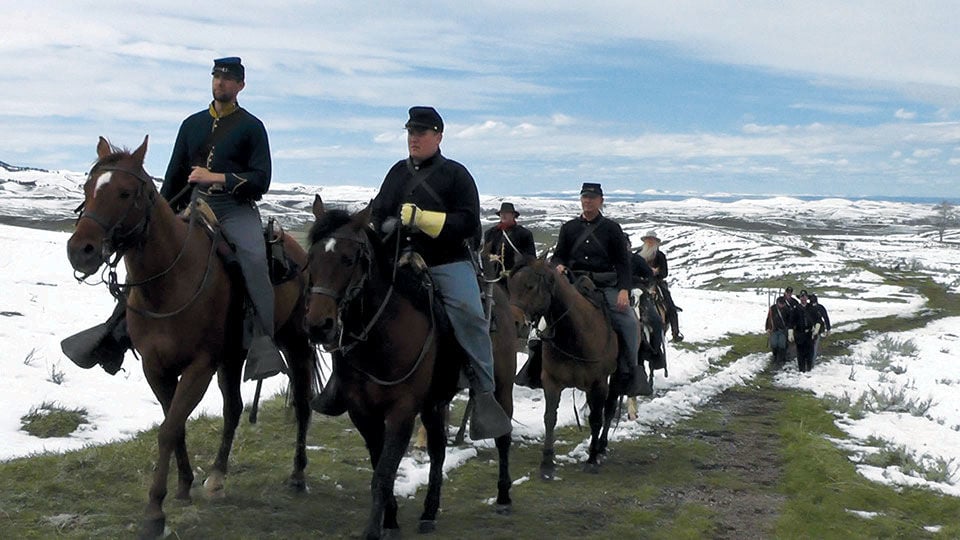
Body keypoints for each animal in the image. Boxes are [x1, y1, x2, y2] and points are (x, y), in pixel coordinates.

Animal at [64, 137, 318, 536]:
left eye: (125, 193)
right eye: (87, 189)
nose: (81, 251)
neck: (170, 282)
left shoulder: (200, 366)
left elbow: (169, 429)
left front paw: (154, 512)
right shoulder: (156, 368)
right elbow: (176, 423)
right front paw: (183, 485)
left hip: (294, 341)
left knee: (303, 404)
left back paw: (297, 476)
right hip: (232, 356)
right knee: (233, 408)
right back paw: (216, 477)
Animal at [306, 198, 516, 540]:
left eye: (349, 259)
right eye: (311, 258)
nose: (318, 326)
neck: (381, 337)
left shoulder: (402, 412)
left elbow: (383, 474)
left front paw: (374, 530)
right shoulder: (363, 413)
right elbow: (380, 466)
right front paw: (390, 519)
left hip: (501, 386)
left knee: (503, 435)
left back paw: (503, 496)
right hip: (435, 402)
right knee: (438, 450)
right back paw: (429, 512)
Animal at [506, 255, 620, 478]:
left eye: (530, 286)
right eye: (510, 286)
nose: (514, 323)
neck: (575, 335)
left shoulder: (598, 383)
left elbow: (596, 419)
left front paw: (591, 460)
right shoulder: (552, 382)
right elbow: (550, 418)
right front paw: (547, 463)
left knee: (609, 409)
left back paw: (601, 447)